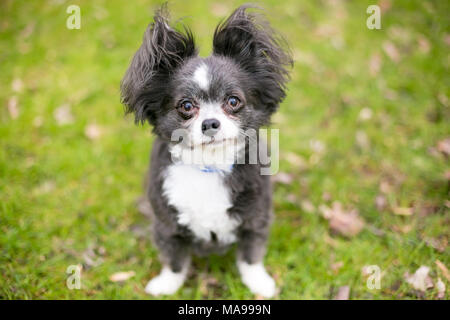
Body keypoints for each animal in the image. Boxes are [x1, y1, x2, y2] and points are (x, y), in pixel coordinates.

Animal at [119, 3, 292, 298]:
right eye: (186, 106)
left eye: (233, 101)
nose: (210, 123)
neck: (208, 167)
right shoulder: (167, 223)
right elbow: (175, 259)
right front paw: (167, 284)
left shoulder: (256, 216)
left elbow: (251, 255)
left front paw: (259, 282)